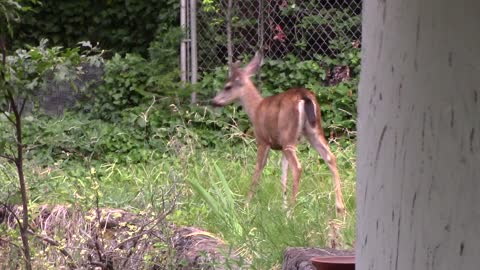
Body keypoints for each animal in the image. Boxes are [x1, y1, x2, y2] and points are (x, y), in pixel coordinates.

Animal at [211, 51, 344, 214]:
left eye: (227, 87)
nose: (213, 101)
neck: (255, 110)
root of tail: (304, 96)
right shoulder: (280, 147)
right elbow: (283, 176)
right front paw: (282, 205)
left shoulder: (262, 140)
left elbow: (258, 169)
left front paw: (246, 205)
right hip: (313, 130)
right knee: (330, 157)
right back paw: (340, 208)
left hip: (289, 135)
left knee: (298, 167)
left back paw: (291, 211)